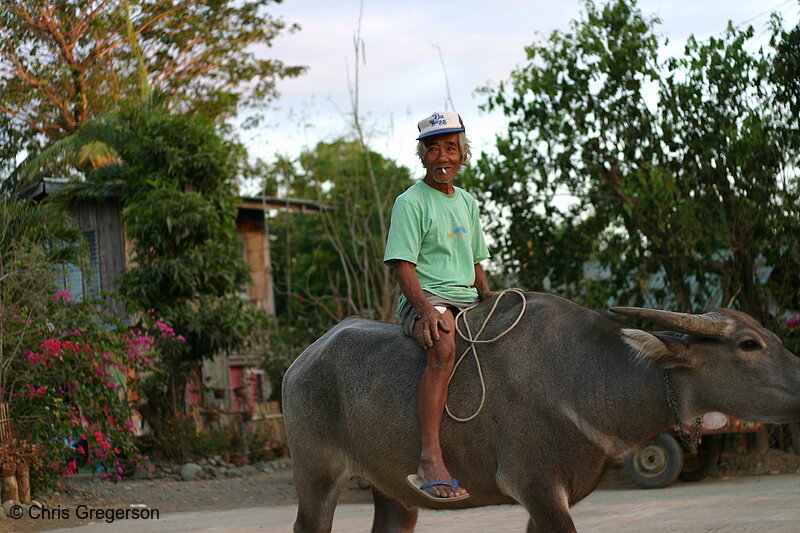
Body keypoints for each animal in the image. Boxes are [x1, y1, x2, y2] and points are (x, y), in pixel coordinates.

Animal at [282, 290, 800, 532]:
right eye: (749, 344)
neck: (580, 380)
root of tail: (299, 363)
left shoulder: (551, 497)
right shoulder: (537, 486)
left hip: (391, 489)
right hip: (317, 476)